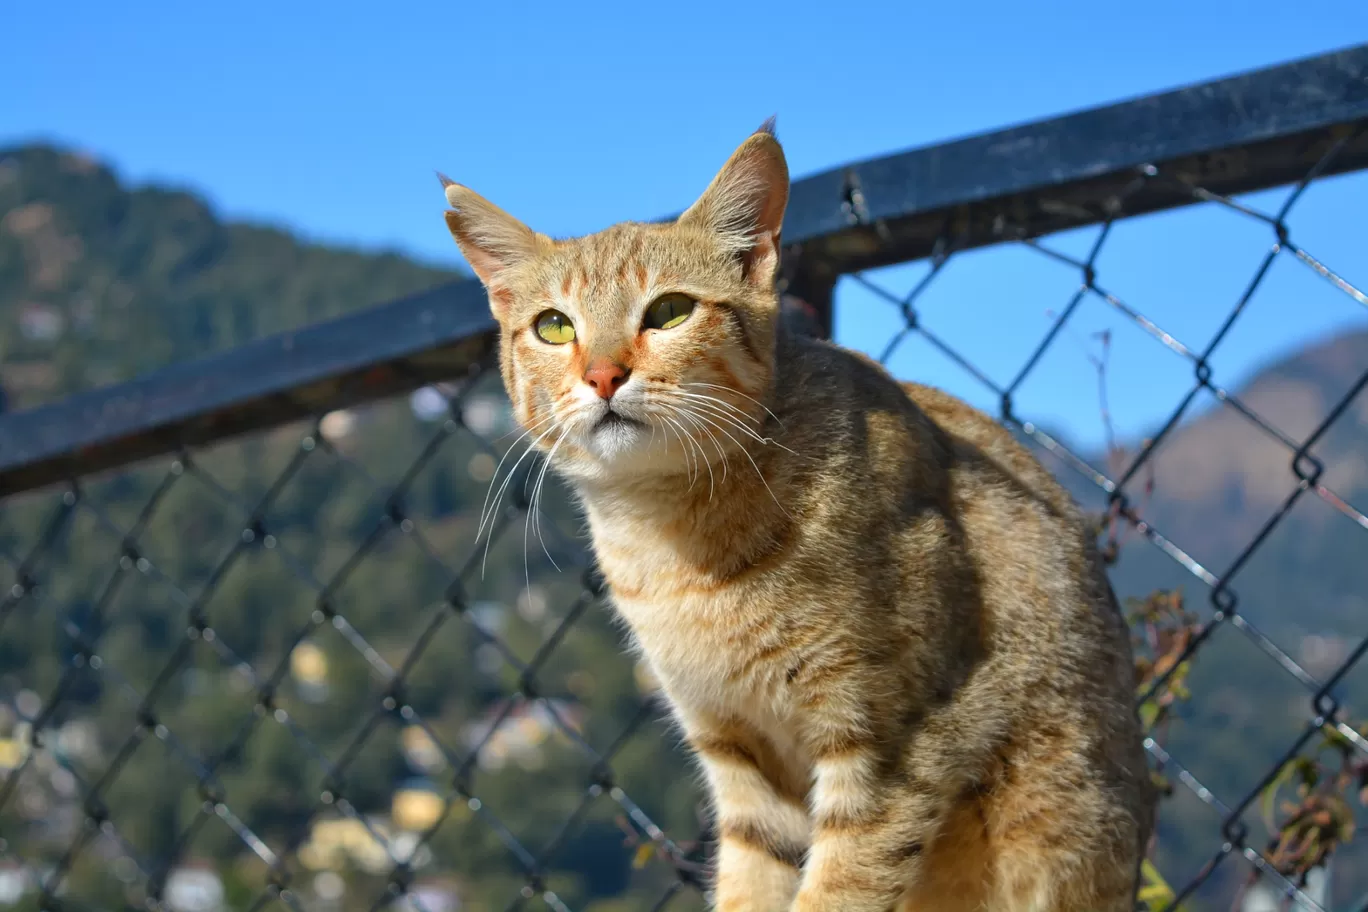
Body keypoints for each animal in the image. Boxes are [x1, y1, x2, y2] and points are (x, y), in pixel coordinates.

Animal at [437, 119, 1154, 912]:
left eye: (669, 311)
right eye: (555, 327)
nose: (601, 375)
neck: (672, 543)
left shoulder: (890, 745)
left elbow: (839, 889)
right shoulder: (739, 756)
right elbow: (752, 883)